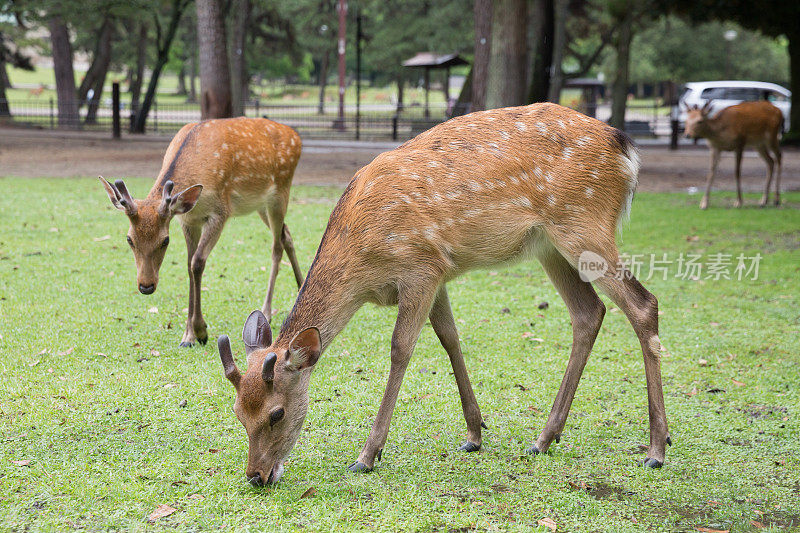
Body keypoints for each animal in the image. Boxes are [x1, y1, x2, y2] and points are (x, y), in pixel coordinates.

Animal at [102, 117, 306, 344]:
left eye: (165, 240)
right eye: (129, 239)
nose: (146, 286)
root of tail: (296, 136)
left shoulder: (220, 212)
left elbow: (197, 263)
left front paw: (200, 330)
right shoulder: (187, 220)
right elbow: (188, 266)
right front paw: (188, 336)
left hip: (280, 193)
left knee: (276, 246)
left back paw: (267, 311)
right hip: (261, 205)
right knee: (287, 234)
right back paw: (300, 287)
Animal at [216, 101, 672, 486]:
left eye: (276, 414)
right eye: (237, 412)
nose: (256, 476)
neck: (364, 265)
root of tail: (625, 148)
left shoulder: (419, 267)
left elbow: (401, 348)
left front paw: (367, 455)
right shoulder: (438, 273)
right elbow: (450, 338)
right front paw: (474, 432)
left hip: (584, 224)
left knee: (642, 304)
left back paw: (656, 448)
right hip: (550, 245)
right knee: (588, 313)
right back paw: (544, 438)